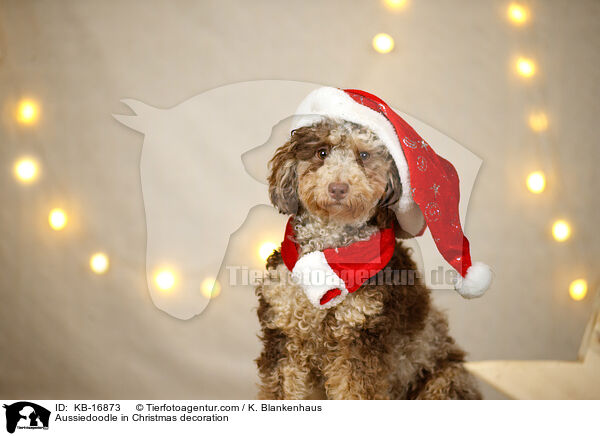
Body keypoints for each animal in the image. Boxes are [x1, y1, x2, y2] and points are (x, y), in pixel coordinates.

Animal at [254, 118, 482, 398]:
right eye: (322, 152)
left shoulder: (358, 340)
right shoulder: (284, 334)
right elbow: (282, 389)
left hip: (446, 380)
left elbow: (353, 391)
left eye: (364, 156)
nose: (338, 188)